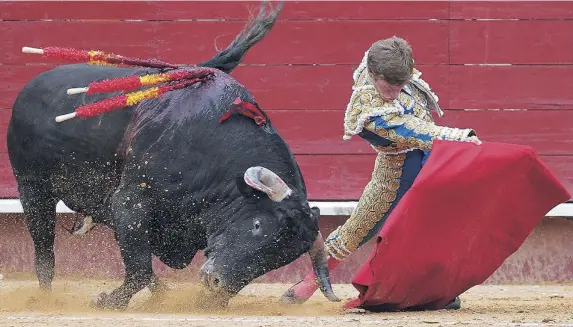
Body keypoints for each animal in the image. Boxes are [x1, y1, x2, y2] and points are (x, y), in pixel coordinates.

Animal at [5, 1, 340, 310]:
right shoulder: (130, 202)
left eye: (278, 260)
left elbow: (140, 263)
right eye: (258, 226)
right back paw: (44, 298)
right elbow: (139, 268)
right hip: (33, 188)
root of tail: (31, 87)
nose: (217, 283)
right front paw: (108, 301)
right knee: (44, 249)